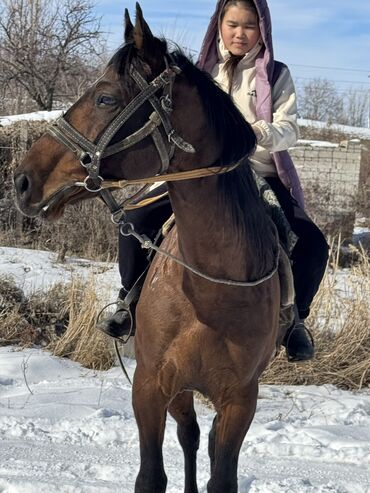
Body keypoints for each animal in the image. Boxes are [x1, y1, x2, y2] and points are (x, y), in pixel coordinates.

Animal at [13, 4, 286, 492]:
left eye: (105, 98)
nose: (22, 180)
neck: (210, 291)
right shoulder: (150, 387)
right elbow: (152, 475)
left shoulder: (240, 400)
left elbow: (223, 476)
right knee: (190, 435)